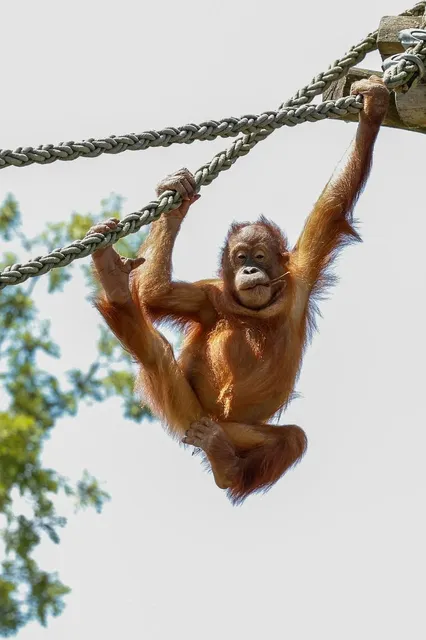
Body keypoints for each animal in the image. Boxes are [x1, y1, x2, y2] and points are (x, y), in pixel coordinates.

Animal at [89, 75, 389, 503]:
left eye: (260, 256)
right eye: (240, 255)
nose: (248, 268)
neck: (257, 312)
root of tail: (214, 431)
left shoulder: (302, 274)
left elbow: (333, 203)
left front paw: (374, 106)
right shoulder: (210, 296)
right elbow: (156, 294)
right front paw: (176, 200)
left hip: (237, 433)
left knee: (292, 440)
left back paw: (226, 466)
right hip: (190, 416)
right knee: (155, 354)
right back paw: (113, 279)